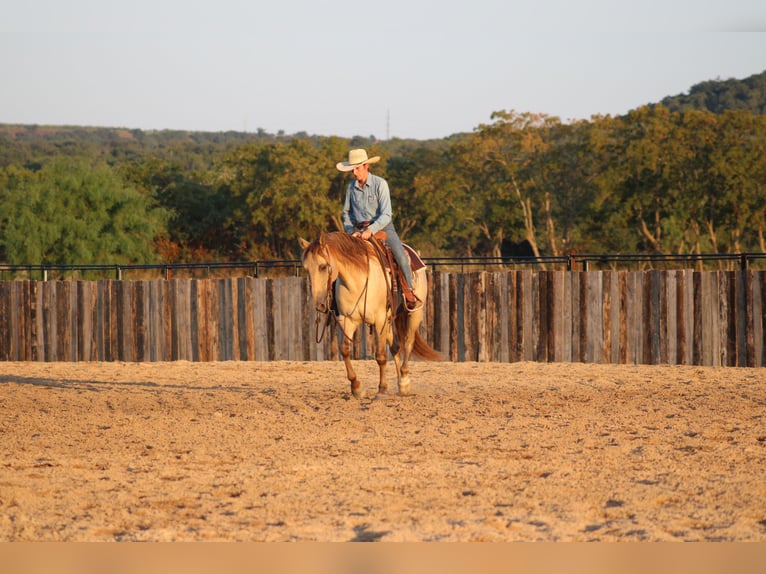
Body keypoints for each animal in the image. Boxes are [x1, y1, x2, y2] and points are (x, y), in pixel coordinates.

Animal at [299, 231, 441, 399]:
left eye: (322, 266)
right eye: (306, 268)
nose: (319, 305)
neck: (357, 280)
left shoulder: (380, 320)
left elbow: (380, 356)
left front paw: (382, 389)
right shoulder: (347, 319)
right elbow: (344, 350)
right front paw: (356, 387)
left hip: (414, 313)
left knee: (408, 343)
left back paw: (404, 382)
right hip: (389, 320)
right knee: (396, 346)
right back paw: (399, 381)